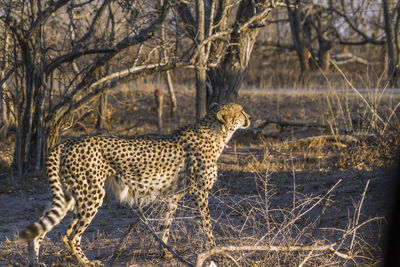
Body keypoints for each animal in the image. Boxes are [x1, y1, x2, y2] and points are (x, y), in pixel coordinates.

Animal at [21, 102, 250, 266]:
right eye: (241, 111)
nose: (249, 118)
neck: (217, 133)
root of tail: (66, 142)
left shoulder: (173, 196)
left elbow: (165, 226)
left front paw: (164, 253)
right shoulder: (199, 191)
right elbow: (206, 225)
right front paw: (214, 250)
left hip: (69, 196)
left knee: (39, 229)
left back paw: (36, 261)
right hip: (92, 194)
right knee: (69, 235)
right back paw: (87, 262)